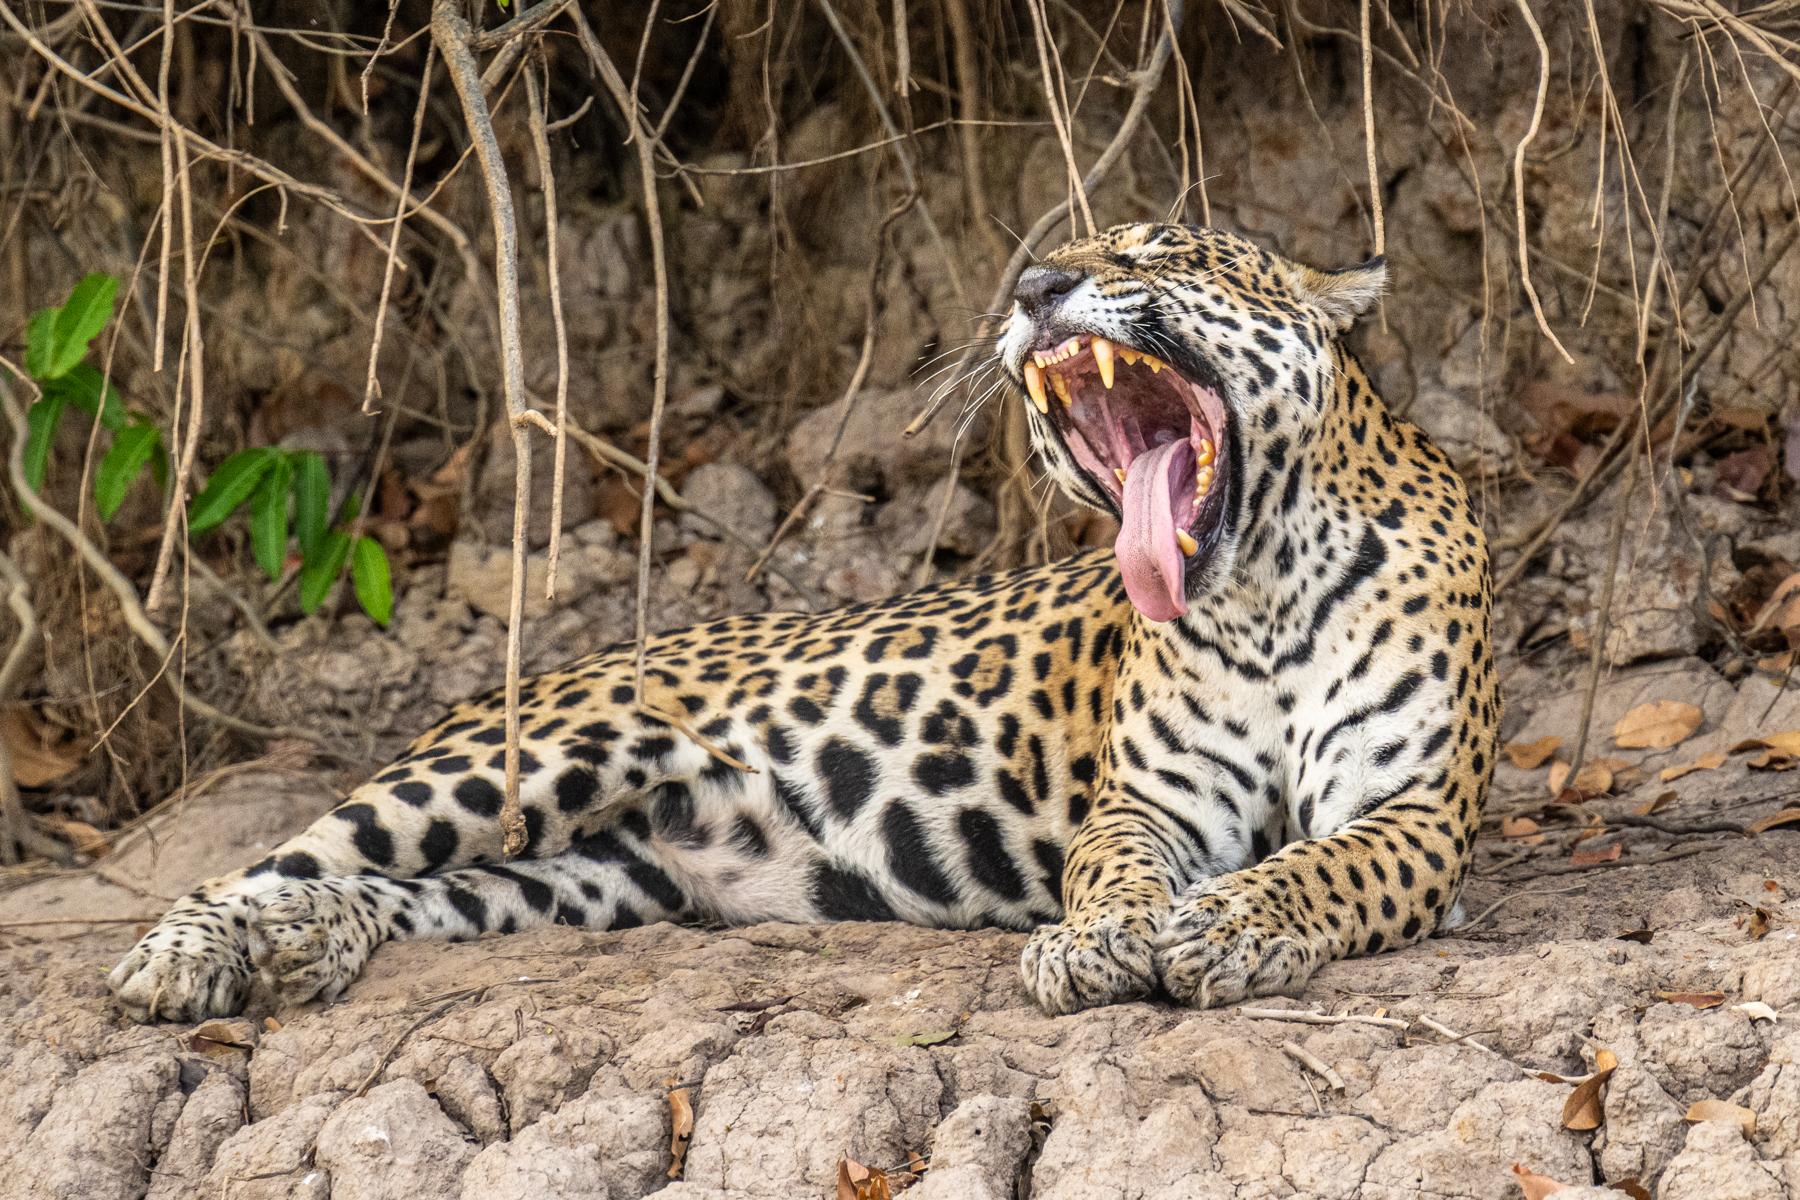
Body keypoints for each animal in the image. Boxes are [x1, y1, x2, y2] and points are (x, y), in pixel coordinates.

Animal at [109, 223, 1500, 1024]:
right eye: (1064, 258)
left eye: (1161, 254)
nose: (1034, 285)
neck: (1260, 582)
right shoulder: (1147, 804)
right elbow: (1113, 872)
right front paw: (1097, 945)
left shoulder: (1415, 811)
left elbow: (1320, 864)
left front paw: (1222, 930)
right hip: (526, 762)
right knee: (274, 861)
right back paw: (189, 961)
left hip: (592, 877)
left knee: (414, 892)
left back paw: (304, 945)